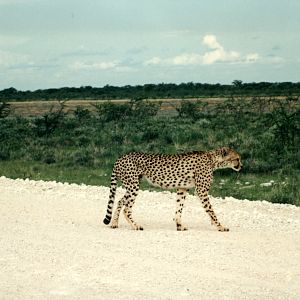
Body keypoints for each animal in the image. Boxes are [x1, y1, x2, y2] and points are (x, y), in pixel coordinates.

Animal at [103, 148, 241, 232]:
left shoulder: (182, 188)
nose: (241, 165)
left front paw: (179, 226)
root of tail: (121, 157)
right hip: (133, 186)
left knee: (120, 201)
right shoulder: (201, 191)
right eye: (237, 159)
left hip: (132, 185)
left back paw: (114, 223)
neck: (213, 160)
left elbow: (179, 208)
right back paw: (135, 226)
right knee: (126, 207)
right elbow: (211, 210)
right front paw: (220, 226)